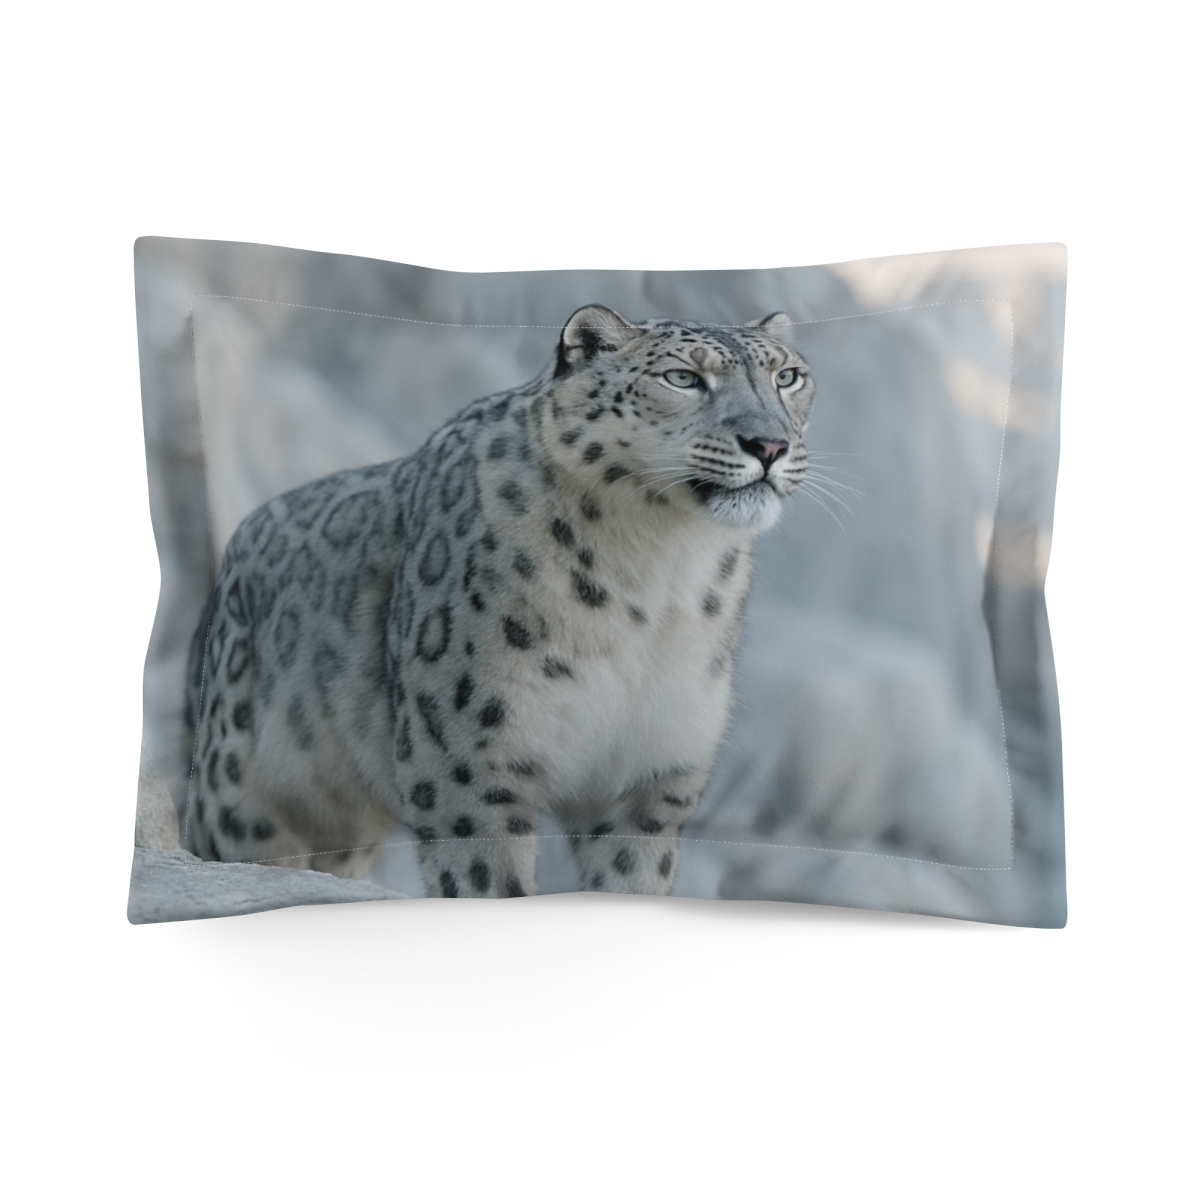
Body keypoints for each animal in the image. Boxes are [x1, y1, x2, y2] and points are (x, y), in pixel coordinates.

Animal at [183, 304, 815, 898]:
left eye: (786, 377)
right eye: (682, 377)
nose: (769, 444)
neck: (660, 577)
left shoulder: (649, 781)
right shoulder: (468, 770)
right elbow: (490, 881)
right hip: (237, 795)